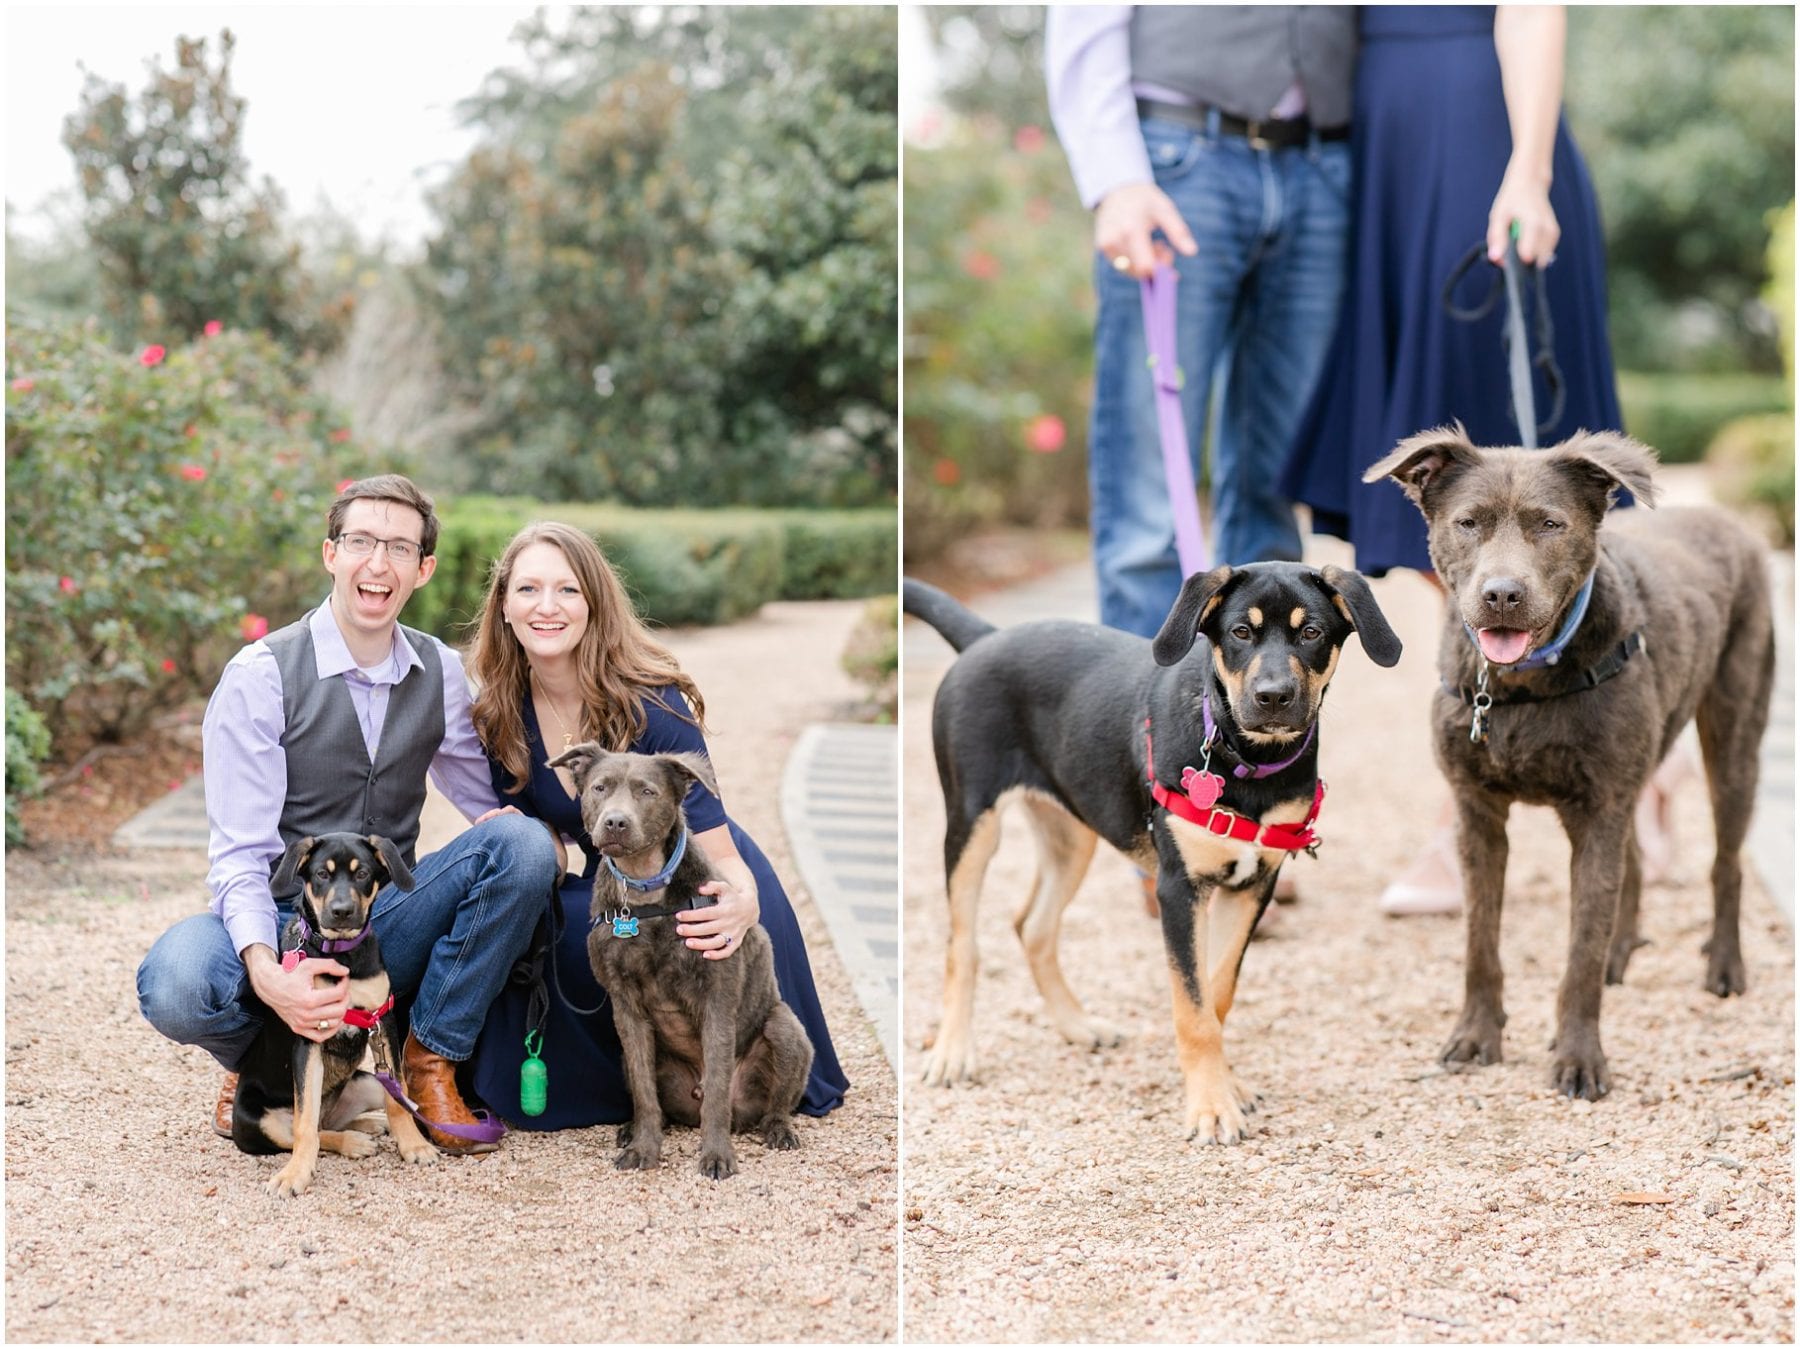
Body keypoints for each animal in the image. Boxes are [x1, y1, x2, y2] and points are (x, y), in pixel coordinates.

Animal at [232, 832, 435, 1203]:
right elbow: (304, 1124)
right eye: (322, 874)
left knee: (338, 1118)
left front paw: (413, 1145)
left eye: (362, 873)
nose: (342, 912)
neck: (342, 956)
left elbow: (399, 1097)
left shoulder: (383, 1021)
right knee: (308, 1129)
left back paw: (371, 1124)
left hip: (367, 1082)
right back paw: (353, 1141)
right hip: (257, 1120)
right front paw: (294, 1176)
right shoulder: (308, 1036)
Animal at [540, 742, 810, 1174]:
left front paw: (716, 1155)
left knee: (774, 1104)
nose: (615, 822)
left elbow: (716, 1089)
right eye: (600, 787)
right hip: (631, 1055)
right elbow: (645, 1093)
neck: (645, 890)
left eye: (647, 791)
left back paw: (779, 1130)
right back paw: (631, 1129)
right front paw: (643, 1150)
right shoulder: (626, 1009)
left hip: (786, 1029)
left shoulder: (716, 1000)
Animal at [907, 561, 1396, 1145]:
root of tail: (985, 637)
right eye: (1240, 632)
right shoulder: (1178, 890)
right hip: (972, 822)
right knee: (963, 945)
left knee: (1034, 926)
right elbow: (1193, 1007)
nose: (1273, 697)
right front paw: (1211, 1107)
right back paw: (953, 1052)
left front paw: (1226, 1084)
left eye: (1312, 633)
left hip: (1071, 832)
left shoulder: (1252, 886)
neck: (1244, 760)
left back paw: (1078, 1025)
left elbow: (1217, 992)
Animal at [1368, 426, 1778, 1102]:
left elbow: (1579, 949)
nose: (1502, 595)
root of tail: (1726, 520)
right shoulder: (1479, 817)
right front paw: (1476, 1036)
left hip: (1734, 739)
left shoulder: (1597, 811)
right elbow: (1480, 940)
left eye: (1550, 524)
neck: (1519, 685)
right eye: (1468, 522)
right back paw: (1623, 951)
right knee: (1632, 864)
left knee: (1726, 863)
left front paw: (1580, 1058)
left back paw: (1724, 966)